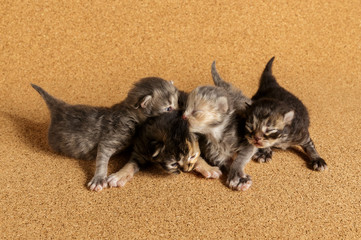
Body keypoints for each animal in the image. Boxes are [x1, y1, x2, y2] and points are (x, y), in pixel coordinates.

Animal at [31, 78, 179, 192]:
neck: (130, 115)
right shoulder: (112, 137)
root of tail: (59, 109)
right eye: (168, 108)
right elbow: (102, 158)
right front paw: (99, 178)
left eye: (177, 104)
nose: (182, 115)